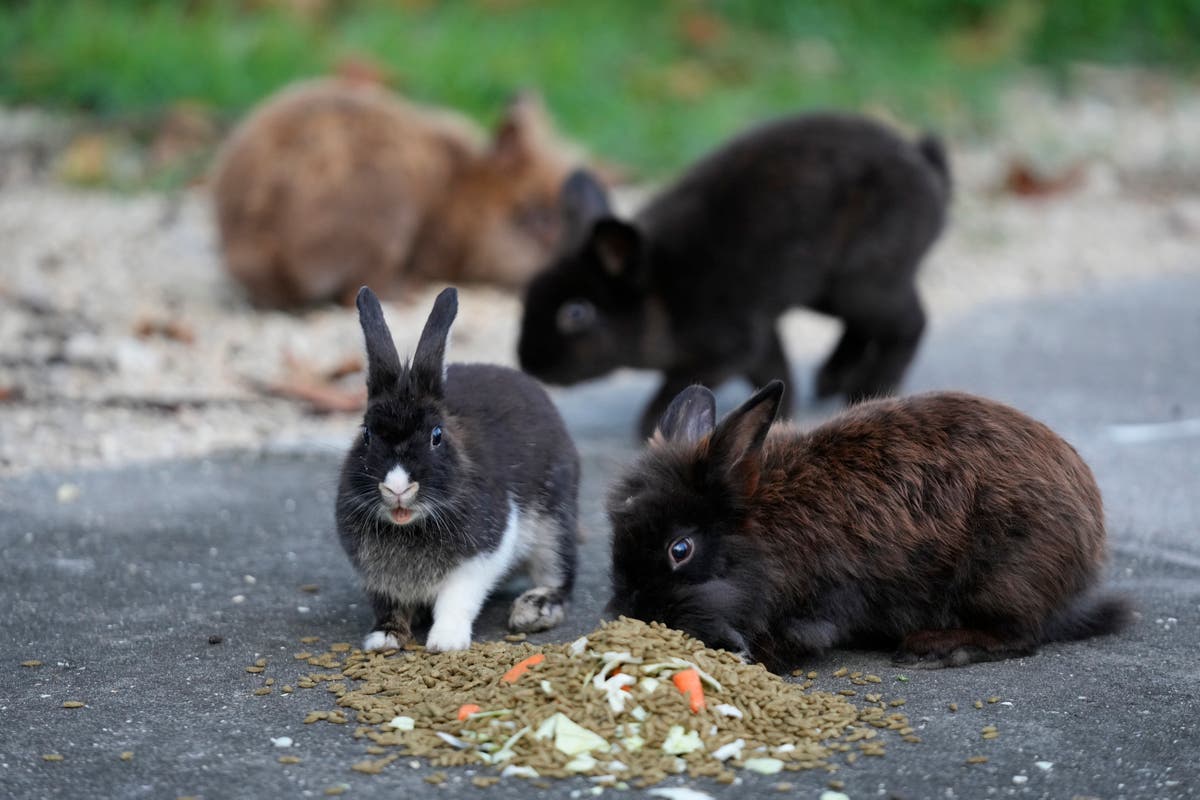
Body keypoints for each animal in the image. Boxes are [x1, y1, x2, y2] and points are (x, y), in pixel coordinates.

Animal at [335, 286, 579, 652]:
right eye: (366, 434)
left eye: (437, 435)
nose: (397, 487)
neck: (411, 525)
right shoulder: (378, 578)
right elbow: (389, 605)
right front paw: (384, 638)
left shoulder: (481, 556)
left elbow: (457, 598)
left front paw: (445, 642)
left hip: (554, 523)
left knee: (560, 574)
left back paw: (533, 609)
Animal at [518, 113, 950, 439]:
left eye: (576, 313)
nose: (529, 363)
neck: (659, 289)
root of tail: (925, 173)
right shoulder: (759, 333)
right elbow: (774, 368)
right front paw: (785, 413)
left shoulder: (728, 347)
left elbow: (683, 383)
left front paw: (650, 427)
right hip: (830, 293)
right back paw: (833, 379)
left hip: (860, 282)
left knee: (910, 323)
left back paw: (869, 390)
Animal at [606, 381, 1133, 671]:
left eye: (680, 549)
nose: (630, 614)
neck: (766, 528)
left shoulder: (823, 604)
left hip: (1003, 576)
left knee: (1021, 635)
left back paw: (934, 650)